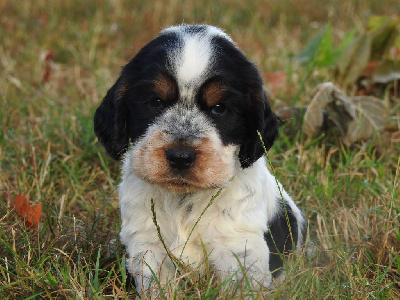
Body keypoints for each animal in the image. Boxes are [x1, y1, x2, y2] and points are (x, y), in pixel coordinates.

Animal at [94, 24, 306, 292]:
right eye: (155, 102)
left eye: (219, 108)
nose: (180, 156)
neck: (185, 200)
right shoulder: (147, 245)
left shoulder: (238, 248)